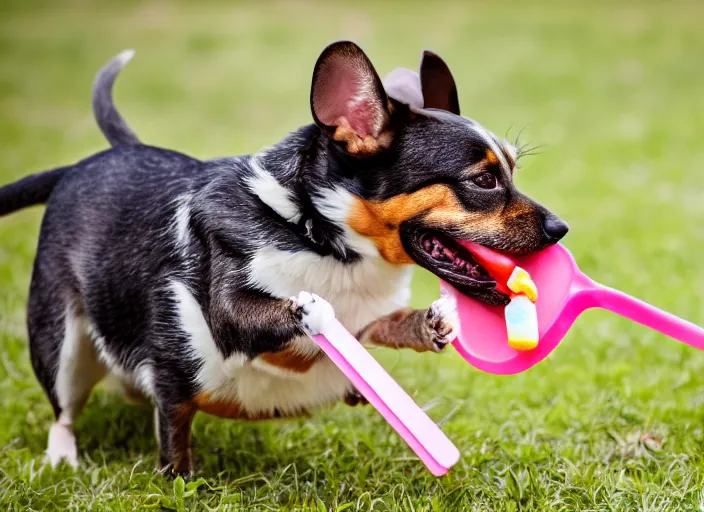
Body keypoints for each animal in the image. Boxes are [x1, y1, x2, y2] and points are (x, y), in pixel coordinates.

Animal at [0, 41, 568, 476]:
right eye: (484, 180)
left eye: (511, 171)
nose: (561, 230)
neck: (321, 235)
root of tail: (96, 158)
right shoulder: (227, 317)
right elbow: (280, 318)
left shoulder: (365, 318)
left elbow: (380, 324)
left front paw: (432, 321)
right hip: (61, 346)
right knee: (64, 410)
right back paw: (64, 459)